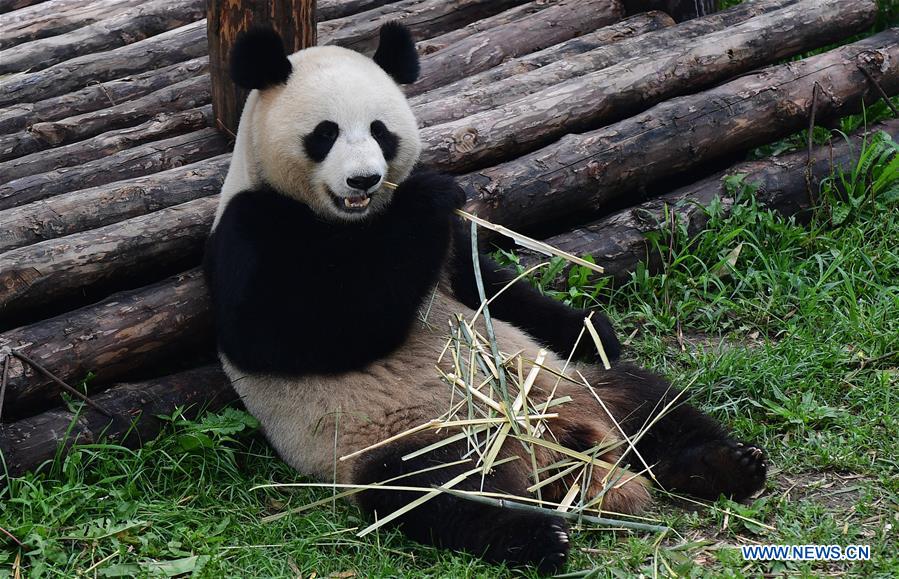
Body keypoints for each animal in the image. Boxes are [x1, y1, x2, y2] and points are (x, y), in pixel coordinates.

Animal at [206, 23, 768, 576]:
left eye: (380, 131)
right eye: (325, 134)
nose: (364, 178)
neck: (351, 219)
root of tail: (553, 459)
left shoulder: (451, 253)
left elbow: (489, 286)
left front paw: (594, 329)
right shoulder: (254, 232)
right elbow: (307, 333)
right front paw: (427, 196)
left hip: (571, 385)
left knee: (650, 403)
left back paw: (727, 464)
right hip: (406, 439)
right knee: (437, 495)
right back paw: (539, 539)